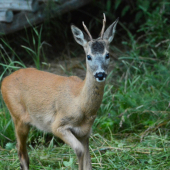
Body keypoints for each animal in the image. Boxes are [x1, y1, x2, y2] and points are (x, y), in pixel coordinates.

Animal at [0, 13, 118, 169]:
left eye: (107, 55)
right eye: (89, 56)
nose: (100, 74)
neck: (81, 105)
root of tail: (4, 80)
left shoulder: (85, 132)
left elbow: (88, 163)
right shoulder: (57, 125)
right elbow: (79, 150)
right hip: (18, 116)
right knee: (21, 152)